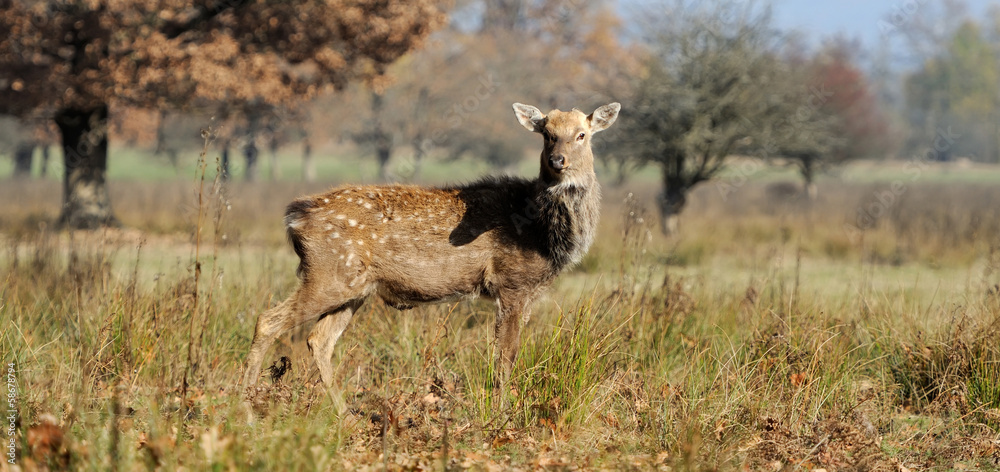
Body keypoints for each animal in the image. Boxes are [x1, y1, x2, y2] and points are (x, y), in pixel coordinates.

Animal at [241, 102, 621, 411]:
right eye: (547, 134)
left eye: (582, 134)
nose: (558, 161)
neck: (542, 234)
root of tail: (295, 217)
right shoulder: (511, 282)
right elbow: (506, 356)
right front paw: (500, 413)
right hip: (327, 274)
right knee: (268, 320)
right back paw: (244, 405)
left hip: (353, 287)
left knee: (319, 340)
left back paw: (344, 413)